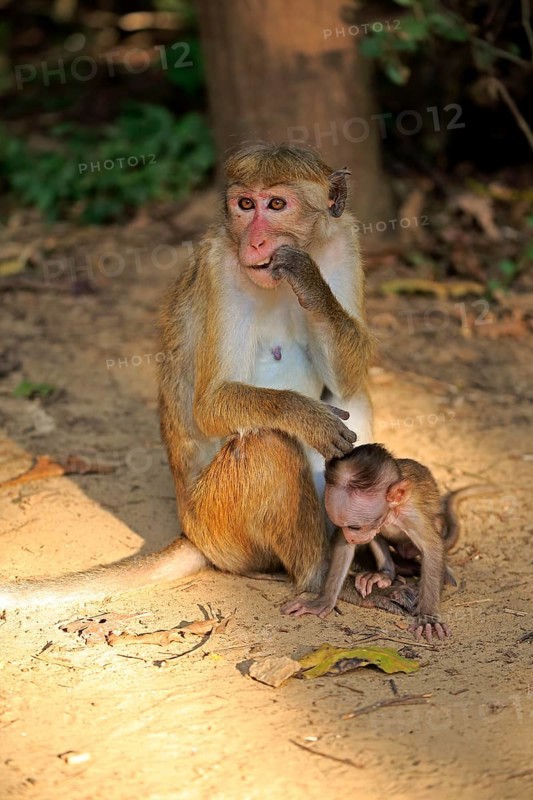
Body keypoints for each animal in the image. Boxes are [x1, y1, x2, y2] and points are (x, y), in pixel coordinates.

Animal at [0, 143, 414, 615]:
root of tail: (191, 534)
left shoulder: (343, 240)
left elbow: (348, 377)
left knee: (353, 395)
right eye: (245, 205)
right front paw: (307, 417)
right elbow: (212, 403)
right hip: (221, 528)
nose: (255, 241)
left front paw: (310, 283)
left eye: (276, 204)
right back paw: (320, 580)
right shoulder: (220, 266)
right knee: (267, 445)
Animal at [281, 443, 482, 642]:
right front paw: (322, 601)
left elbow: (432, 547)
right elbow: (343, 547)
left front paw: (428, 617)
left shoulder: (412, 515)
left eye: (355, 527)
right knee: (377, 537)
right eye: (343, 526)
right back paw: (385, 573)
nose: (351, 537)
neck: (390, 514)